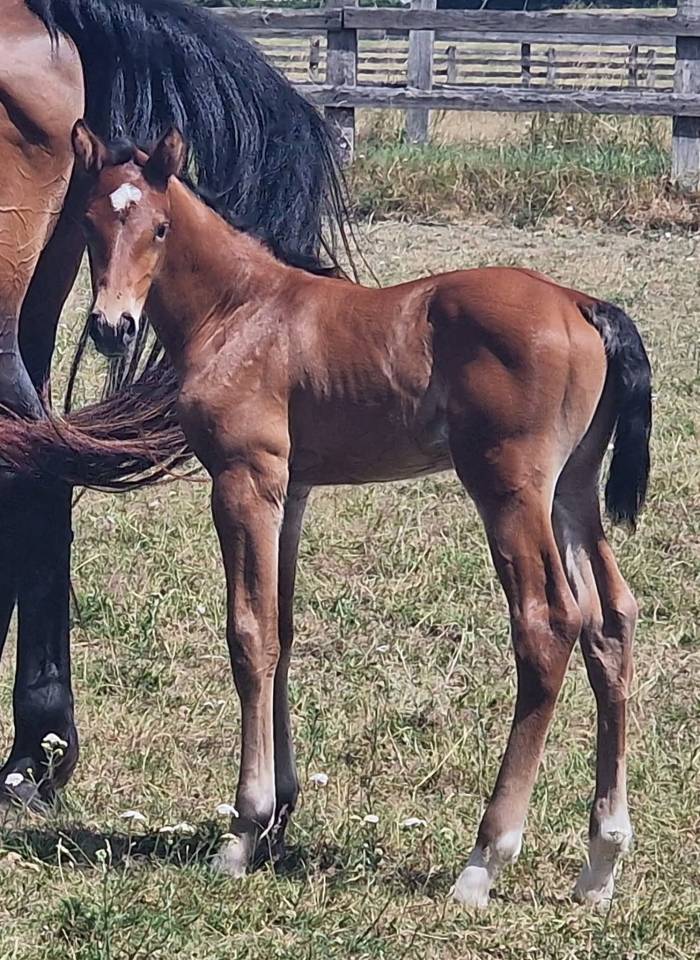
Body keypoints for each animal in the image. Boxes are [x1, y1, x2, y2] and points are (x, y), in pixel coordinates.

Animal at [63, 122, 652, 909]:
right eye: (89, 222)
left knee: (548, 623)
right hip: (574, 490)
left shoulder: (244, 479)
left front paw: (242, 831)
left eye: (159, 227)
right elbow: (281, 629)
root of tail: (581, 302)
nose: (112, 327)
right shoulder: (292, 491)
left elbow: (248, 635)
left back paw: (484, 859)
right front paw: (277, 818)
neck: (242, 312)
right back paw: (601, 863)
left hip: (509, 487)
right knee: (611, 620)